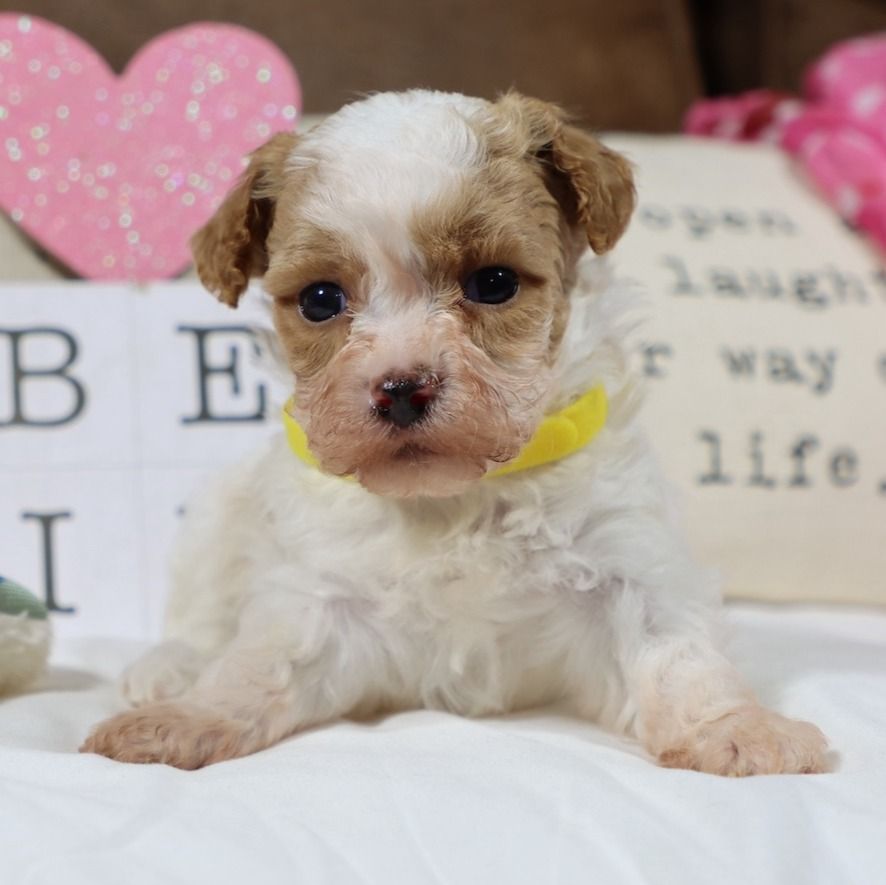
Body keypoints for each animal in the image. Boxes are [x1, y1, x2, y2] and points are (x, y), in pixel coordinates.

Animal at [80, 86, 828, 772]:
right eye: (321, 299)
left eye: (493, 283)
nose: (402, 388)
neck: (454, 497)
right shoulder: (316, 596)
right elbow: (257, 665)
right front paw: (188, 716)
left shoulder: (627, 559)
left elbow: (678, 652)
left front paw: (737, 728)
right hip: (218, 509)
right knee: (202, 609)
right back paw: (167, 668)